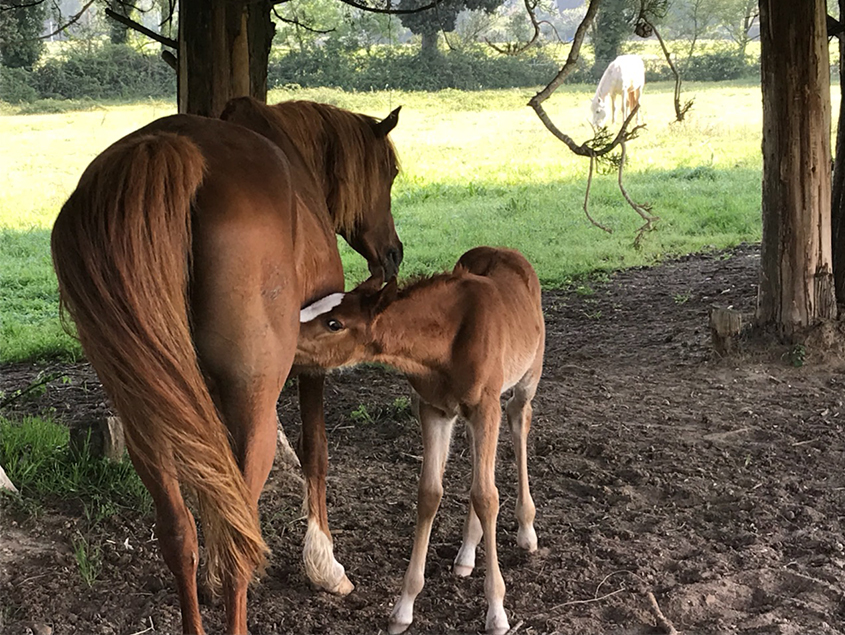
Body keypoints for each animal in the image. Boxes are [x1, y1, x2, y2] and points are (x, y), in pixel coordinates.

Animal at [296, 246, 548, 632]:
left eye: (334, 323)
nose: (279, 339)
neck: (447, 341)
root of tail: (505, 251)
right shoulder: (434, 410)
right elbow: (431, 493)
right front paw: (404, 608)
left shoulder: (486, 406)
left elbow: (487, 496)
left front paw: (496, 611)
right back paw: (466, 554)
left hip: (525, 381)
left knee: (519, 421)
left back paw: (526, 531)